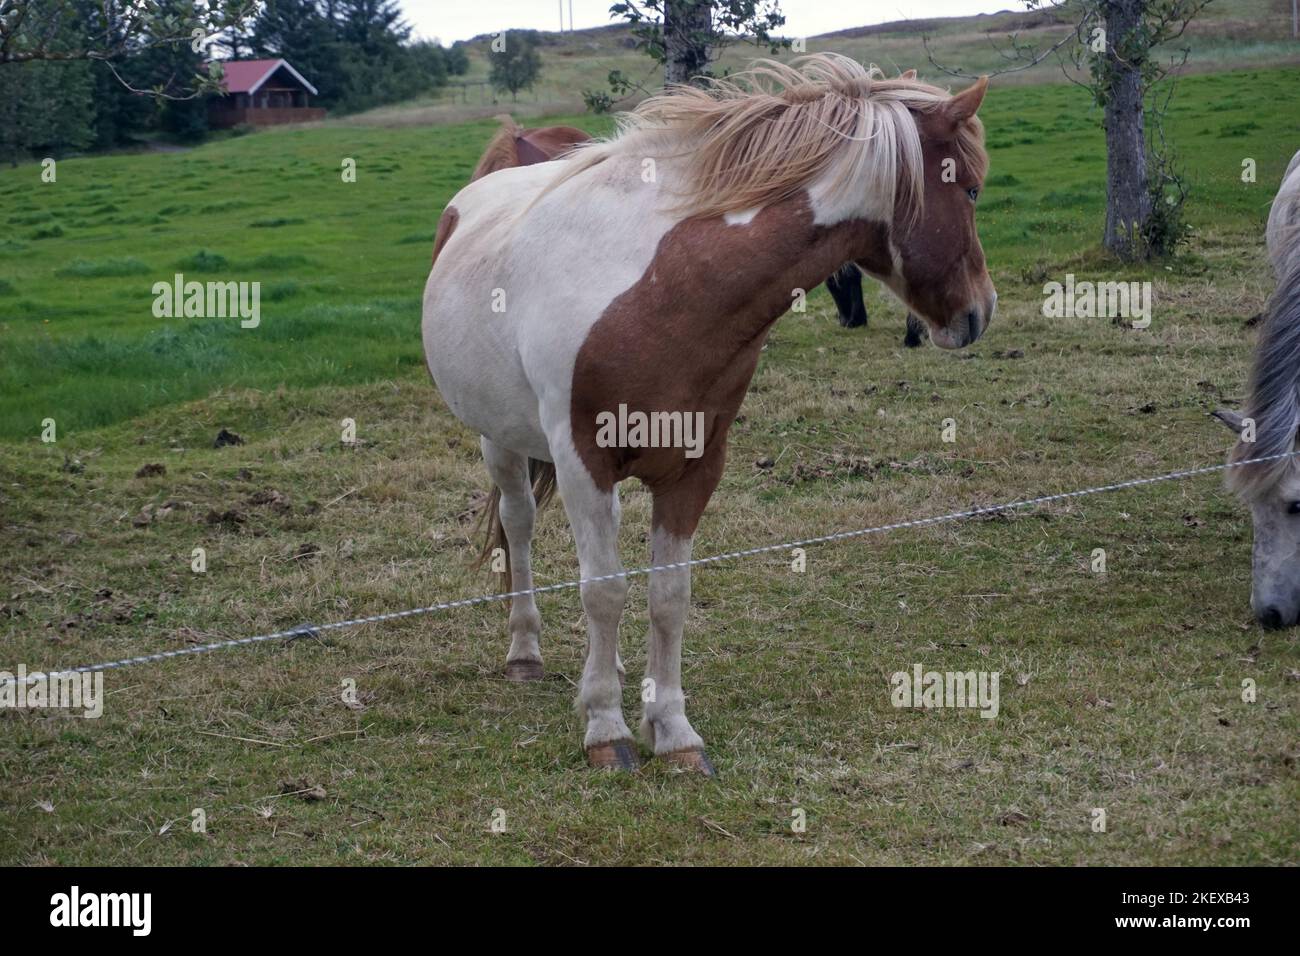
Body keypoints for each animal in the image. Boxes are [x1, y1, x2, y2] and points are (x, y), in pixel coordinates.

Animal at [423, 54, 996, 772]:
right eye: (970, 190)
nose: (980, 311)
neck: (663, 288)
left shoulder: (695, 467)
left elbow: (669, 596)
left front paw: (672, 732)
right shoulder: (585, 464)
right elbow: (603, 591)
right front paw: (606, 729)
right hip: (497, 439)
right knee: (518, 524)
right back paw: (524, 651)